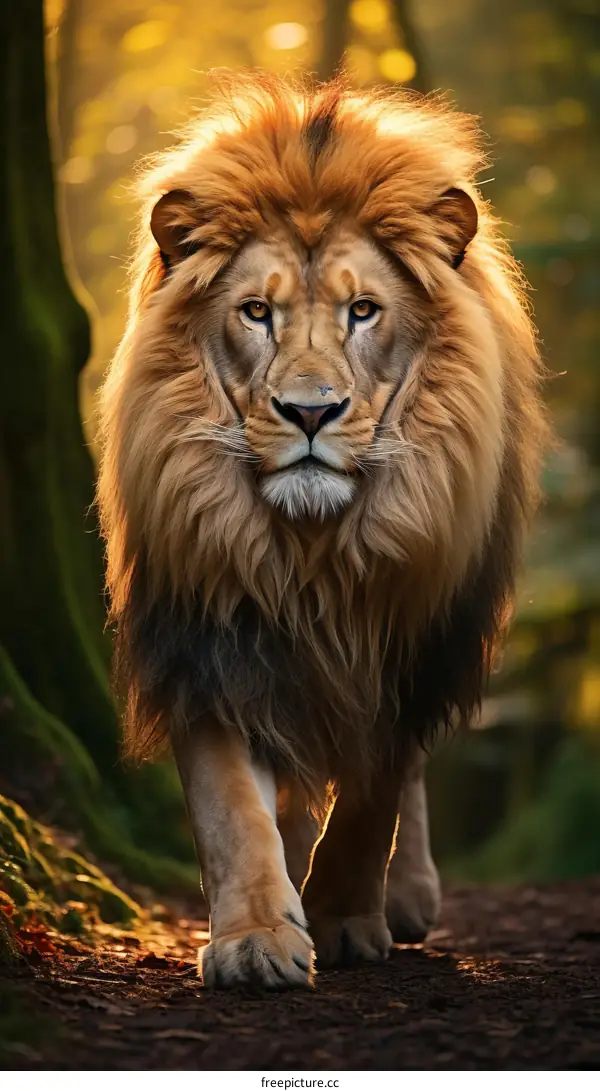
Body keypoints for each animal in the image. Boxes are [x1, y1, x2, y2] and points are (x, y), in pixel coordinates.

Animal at [98, 74, 548, 989]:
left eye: (364, 310)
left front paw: (344, 916)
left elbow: (376, 794)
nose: (310, 412)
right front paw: (257, 934)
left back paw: (405, 896)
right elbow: (231, 803)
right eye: (256, 312)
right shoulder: (207, 629)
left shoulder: (407, 636)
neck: (310, 555)